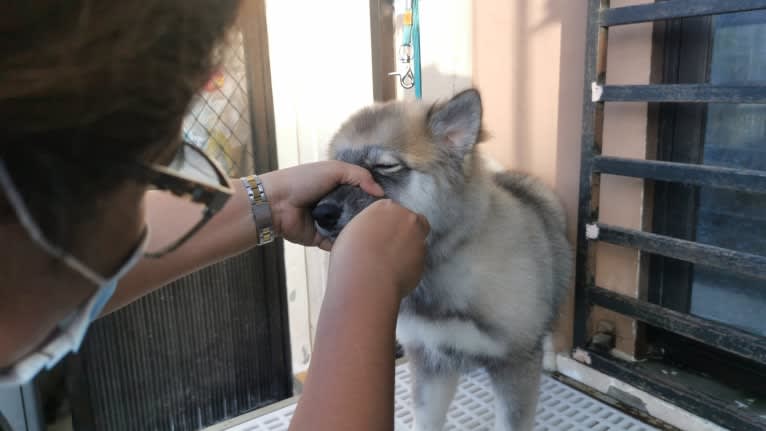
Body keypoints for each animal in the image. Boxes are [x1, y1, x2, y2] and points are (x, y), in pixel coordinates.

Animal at [314, 89, 576, 430]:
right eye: (335, 169)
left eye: (385, 165)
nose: (321, 213)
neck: (443, 263)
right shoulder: (430, 360)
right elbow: (425, 421)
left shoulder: (514, 363)